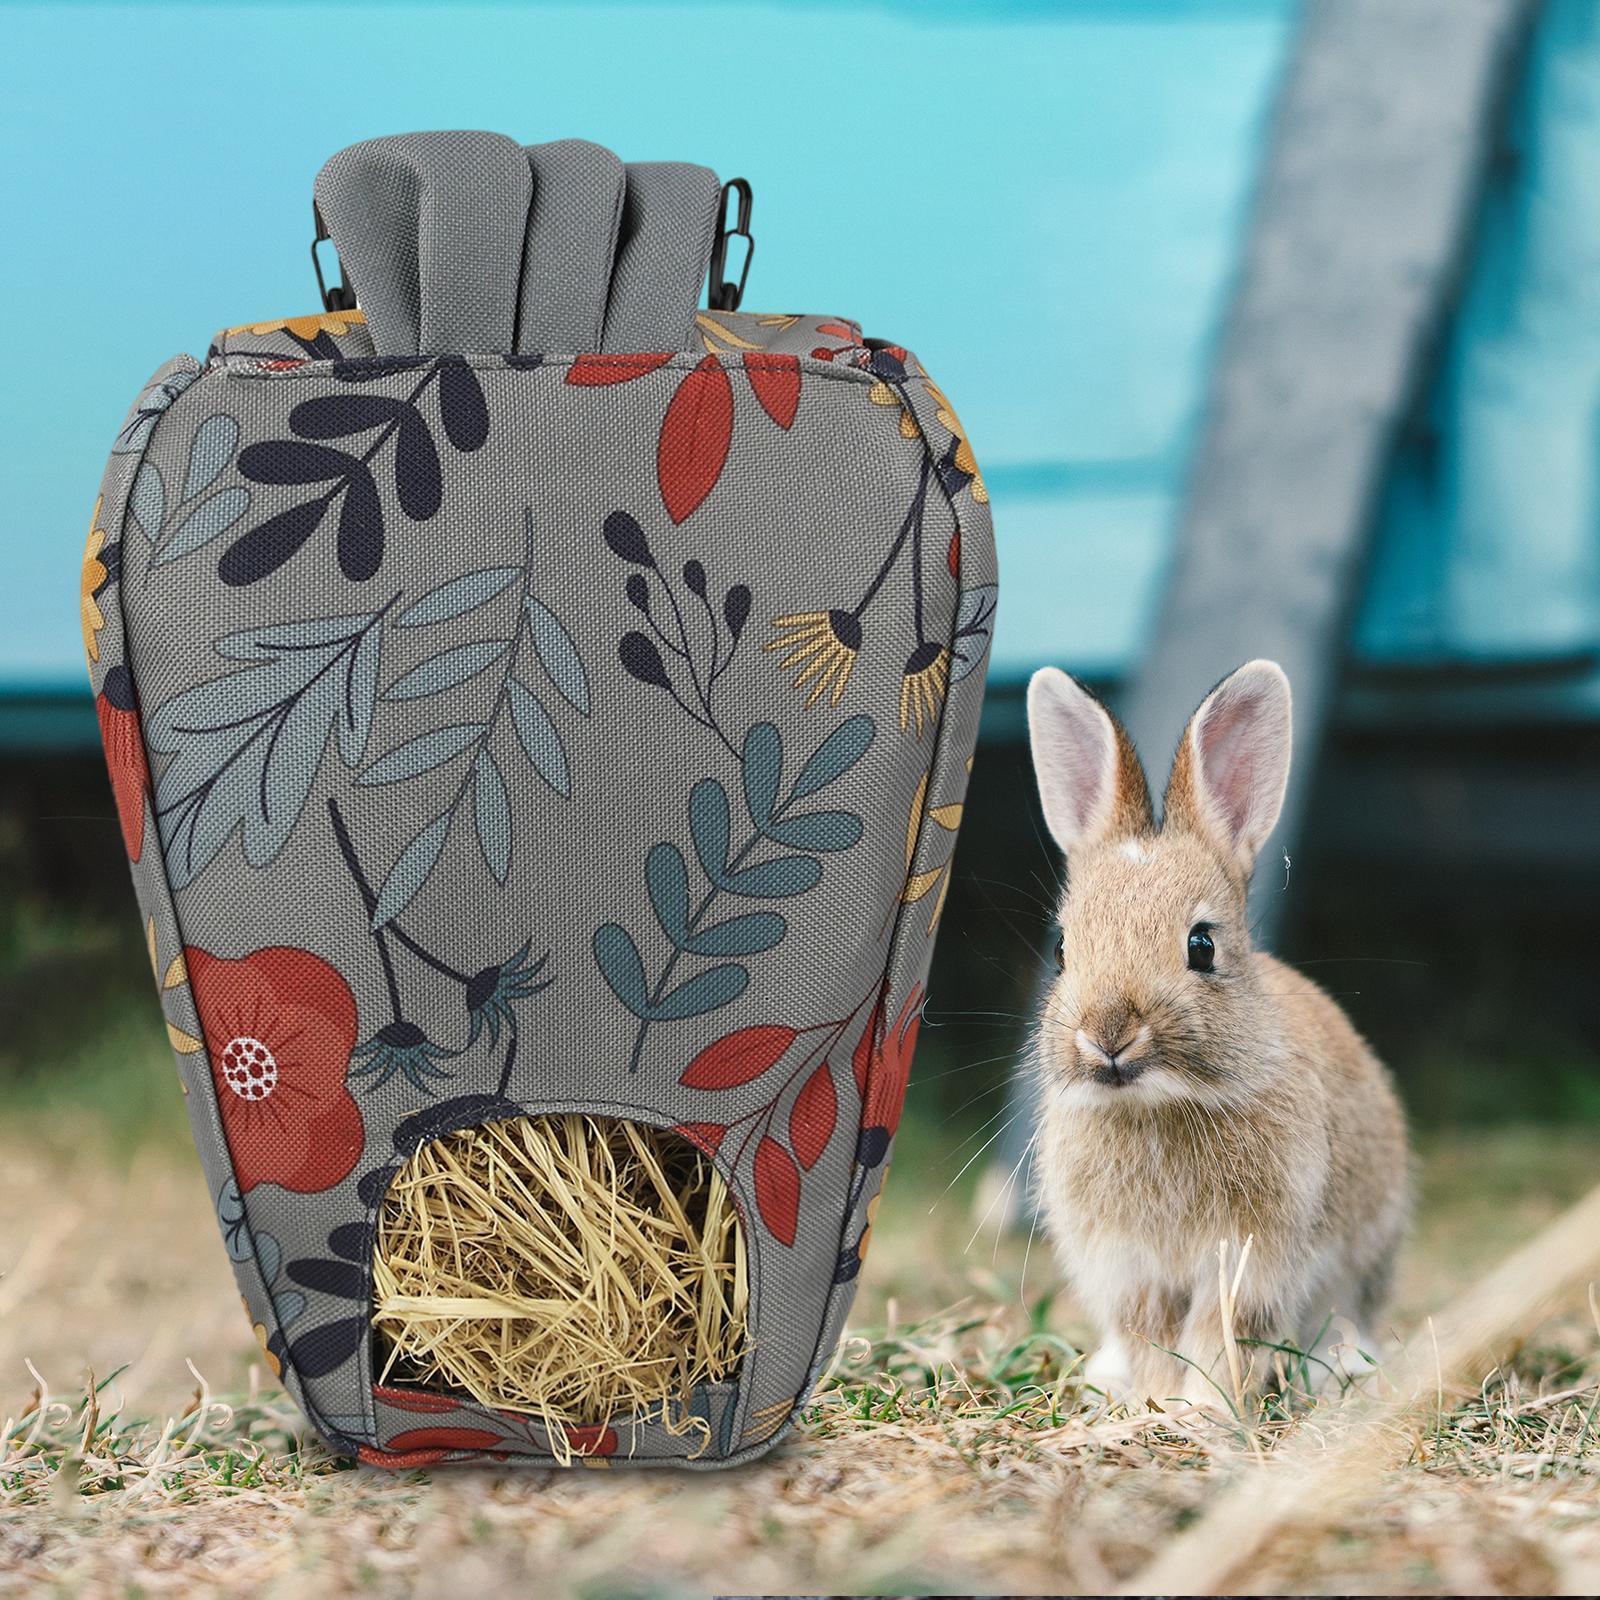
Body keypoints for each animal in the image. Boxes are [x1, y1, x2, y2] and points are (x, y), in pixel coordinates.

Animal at [1024, 659, 1409, 1408]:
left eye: (1201, 945)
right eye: (1060, 950)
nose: (1109, 1034)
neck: (1157, 1105)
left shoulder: (1251, 1257)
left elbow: (1222, 1334)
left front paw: (1200, 1410)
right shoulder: (1128, 1267)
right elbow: (1149, 1335)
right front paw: (1152, 1403)